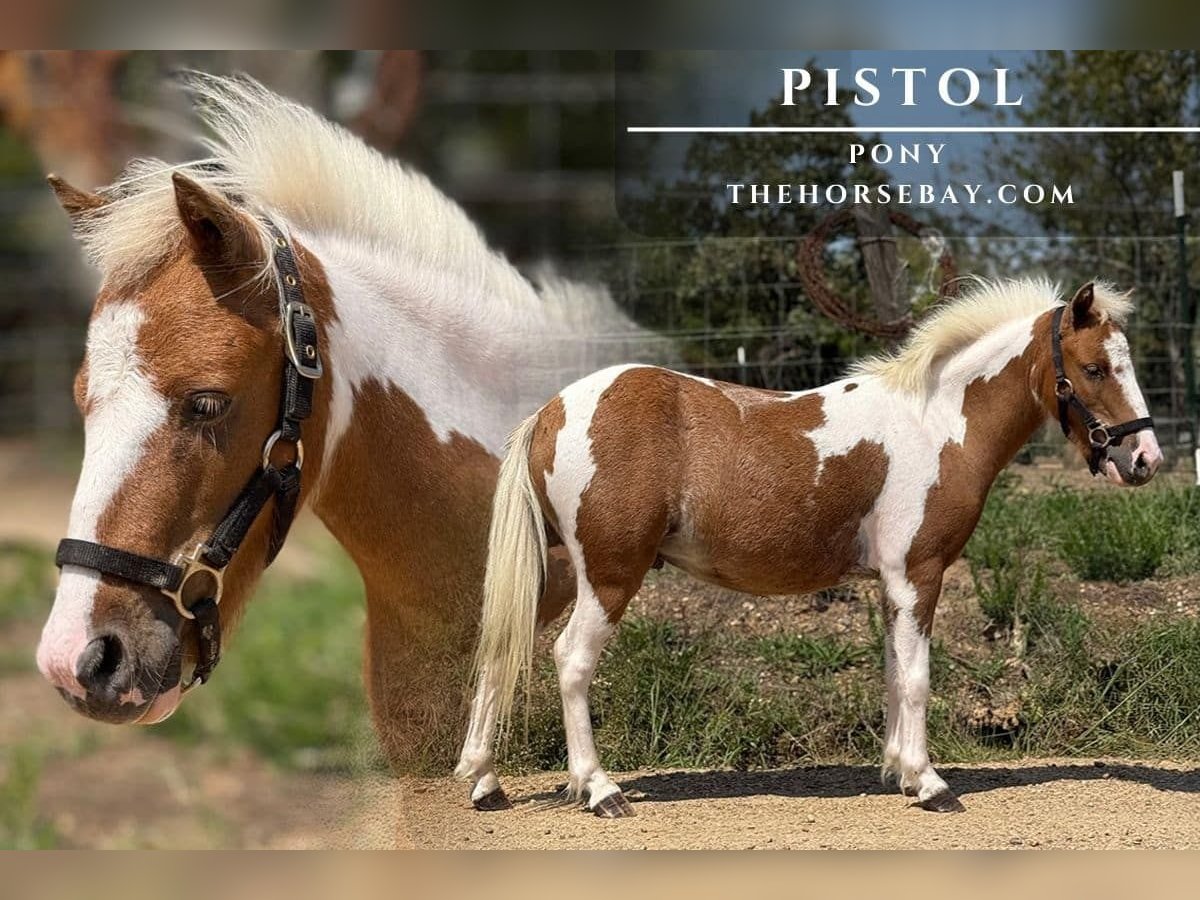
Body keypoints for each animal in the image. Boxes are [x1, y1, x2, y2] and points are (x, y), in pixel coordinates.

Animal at [458, 277, 1163, 817]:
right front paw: (930, 783)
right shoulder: (918, 573)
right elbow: (917, 678)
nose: (1145, 459)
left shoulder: (892, 584)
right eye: (1094, 368)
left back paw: (485, 781)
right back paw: (600, 791)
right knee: (571, 661)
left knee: (498, 651)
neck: (934, 423)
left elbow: (893, 673)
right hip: (609, 578)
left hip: (558, 575)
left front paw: (899, 772)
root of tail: (551, 410)